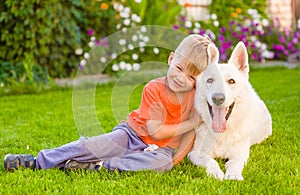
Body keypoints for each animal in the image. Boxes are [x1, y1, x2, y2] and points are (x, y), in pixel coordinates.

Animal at [189, 42, 274, 181]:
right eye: (210, 80)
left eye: (231, 81)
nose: (218, 98)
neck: (222, 134)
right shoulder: (195, 153)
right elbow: (210, 160)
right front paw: (215, 172)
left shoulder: (241, 154)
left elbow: (234, 163)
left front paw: (233, 174)